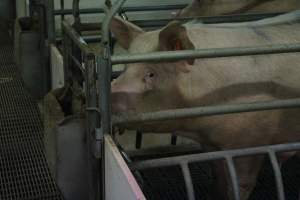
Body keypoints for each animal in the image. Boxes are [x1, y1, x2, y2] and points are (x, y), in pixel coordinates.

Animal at [109, 11, 300, 199]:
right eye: (125, 68)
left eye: (151, 74)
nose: (111, 90)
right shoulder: (211, 144)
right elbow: (219, 175)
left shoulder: (251, 141)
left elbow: (241, 184)